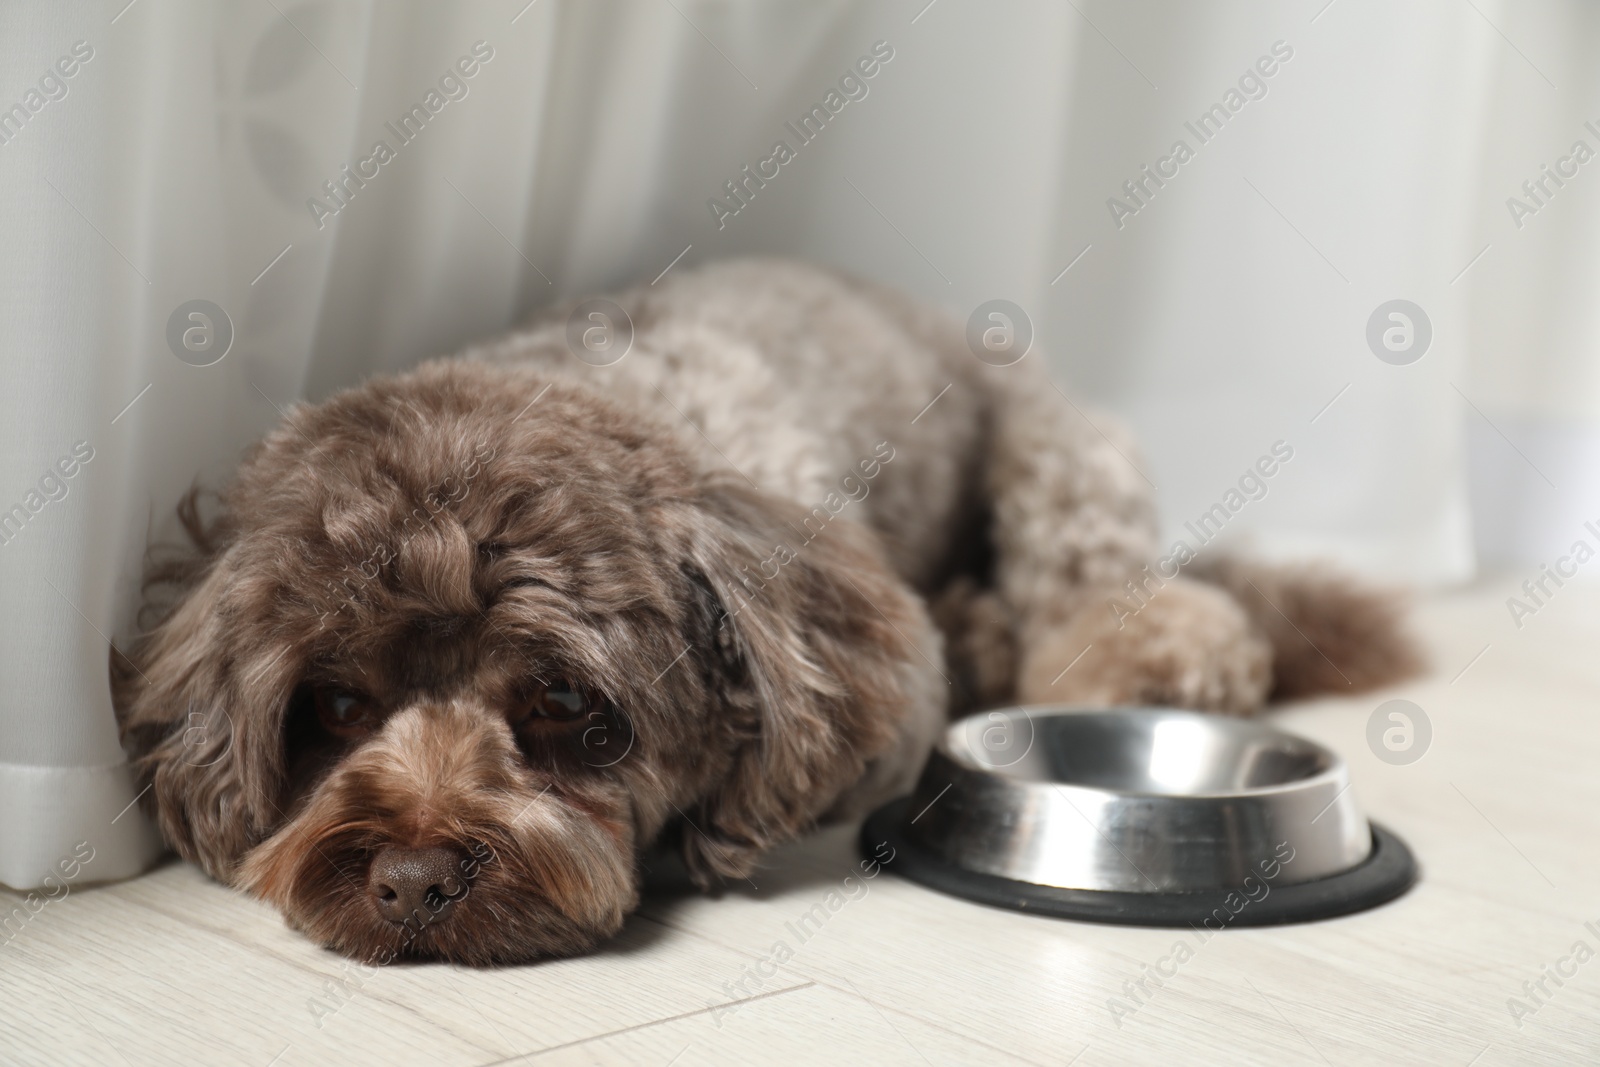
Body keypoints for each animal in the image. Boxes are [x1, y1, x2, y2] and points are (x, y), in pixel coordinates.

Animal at [109, 260, 1414, 966]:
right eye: (332, 702)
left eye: (565, 699)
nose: (413, 880)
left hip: (1059, 453)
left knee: (1100, 589)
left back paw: (1143, 649)